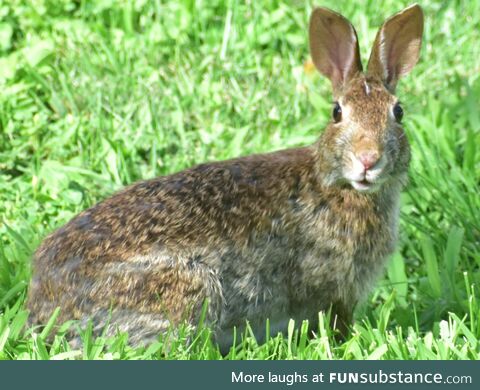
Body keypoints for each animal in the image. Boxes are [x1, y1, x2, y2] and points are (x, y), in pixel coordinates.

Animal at [26, 3, 424, 350]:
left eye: (398, 112)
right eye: (337, 112)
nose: (368, 159)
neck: (335, 187)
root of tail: (44, 305)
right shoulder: (332, 289)